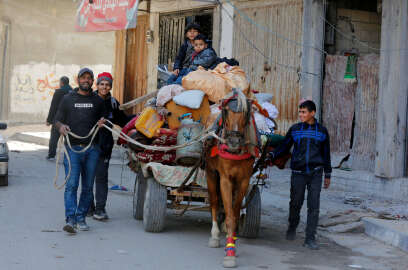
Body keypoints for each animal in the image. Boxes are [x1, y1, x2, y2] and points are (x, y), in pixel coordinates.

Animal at [206, 89, 256, 268]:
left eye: (246, 113)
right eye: (226, 111)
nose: (234, 141)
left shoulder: (243, 180)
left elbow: (234, 213)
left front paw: (232, 241)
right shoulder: (225, 179)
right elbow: (229, 216)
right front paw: (229, 254)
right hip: (210, 173)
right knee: (214, 202)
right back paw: (214, 235)